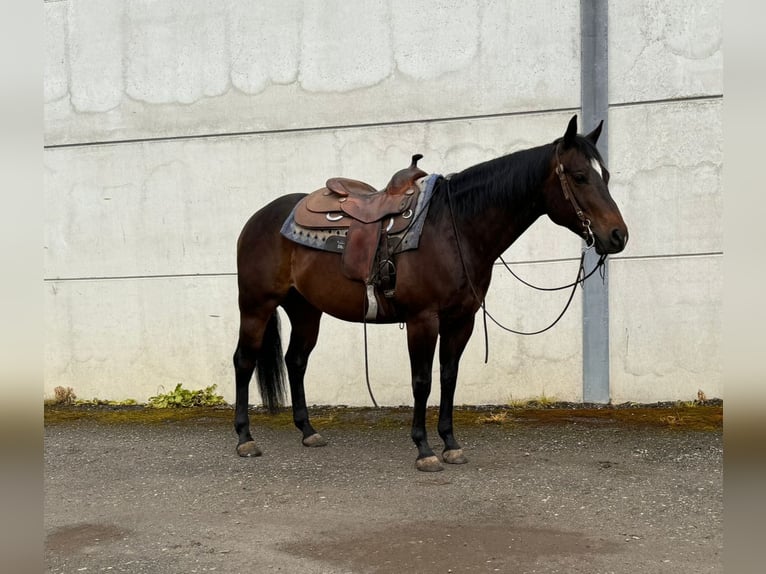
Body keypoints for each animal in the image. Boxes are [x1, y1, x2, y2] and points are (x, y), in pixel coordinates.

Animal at [234, 116, 632, 472]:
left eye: (606, 176)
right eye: (580, 176)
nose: (618, 236)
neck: (454, 229)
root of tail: (258, 218)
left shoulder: (461, 320)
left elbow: (448, 377)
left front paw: (451, 444)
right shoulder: (422, 319)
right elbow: (422, 381)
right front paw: (424, 449)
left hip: (305, 310)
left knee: (296, 360)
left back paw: (308, 431)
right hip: (256, 306)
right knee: (244, 361)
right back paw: (245, 439)